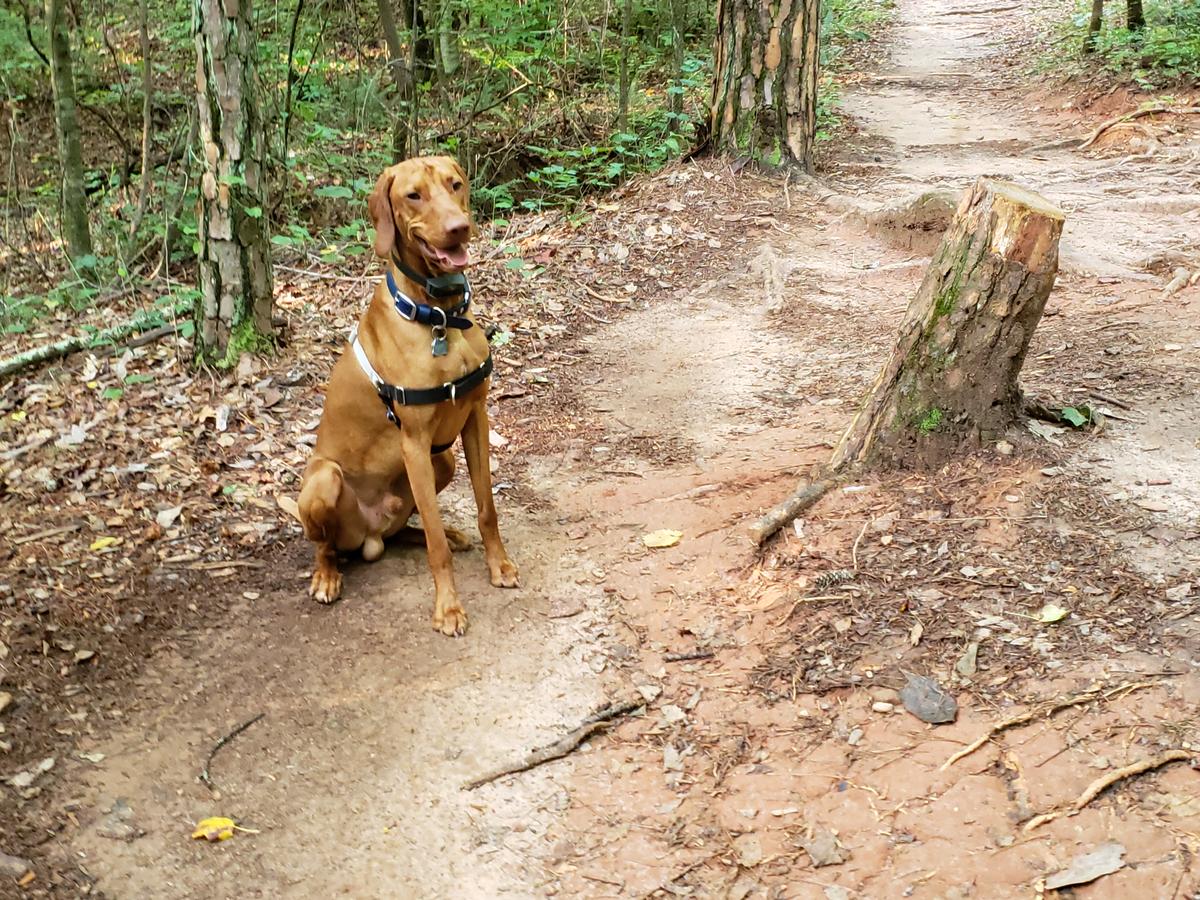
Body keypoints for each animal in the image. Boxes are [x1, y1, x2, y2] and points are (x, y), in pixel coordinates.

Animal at [297, 157, 518, 633]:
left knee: (405, 530)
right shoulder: (414, 443)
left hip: (443, 459)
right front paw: (448, 608)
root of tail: (369, 535)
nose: (459, 227)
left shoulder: (476, 419)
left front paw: (500, 565)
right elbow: (436, 547)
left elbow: (487, 508)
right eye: (413, 195)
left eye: (455, 185)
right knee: (326, 545)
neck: (441, 318)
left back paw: (449, 533)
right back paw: (326, 576)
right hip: (324, 480)